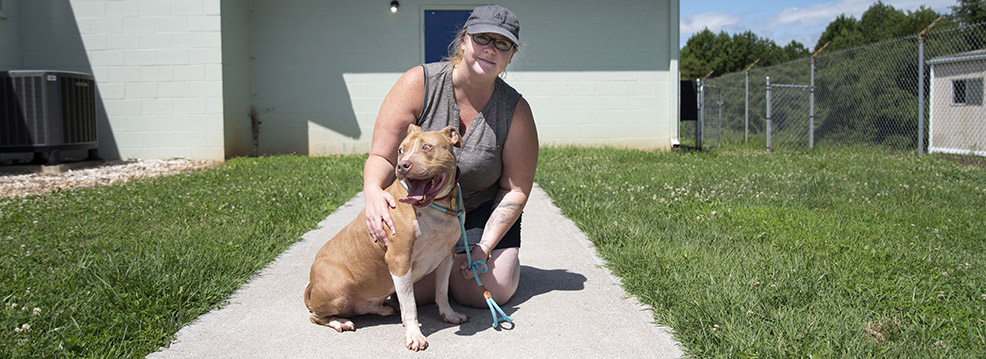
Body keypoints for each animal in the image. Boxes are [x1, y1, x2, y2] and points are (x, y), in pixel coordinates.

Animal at [302, 124, 468, 352]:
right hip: (339, 289)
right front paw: (414, 335)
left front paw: (449, 314)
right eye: (400, 150)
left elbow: (441, 291)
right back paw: (339, 322)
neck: (435, 206)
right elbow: (410, 305)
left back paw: (384, 308)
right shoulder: (399, 261)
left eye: (427, 147)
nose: (403, 165)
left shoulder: (446, 256)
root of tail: (311, 283)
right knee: (316, 316)